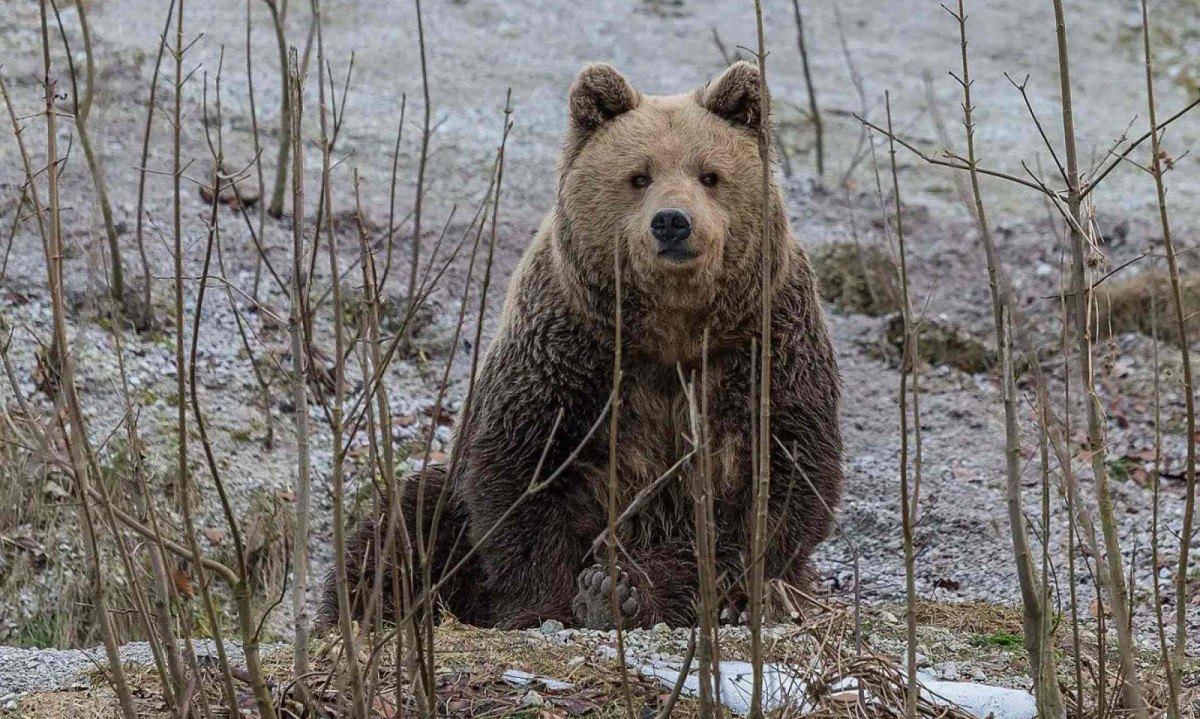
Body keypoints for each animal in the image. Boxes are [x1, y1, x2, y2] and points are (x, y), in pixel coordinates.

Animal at [324, 60, 840, 628]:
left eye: (710, 175)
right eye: (639, 176)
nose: (672, 222)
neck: (673, 327)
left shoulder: (762, 345)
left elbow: (777, 480)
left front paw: (627, 588)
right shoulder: (569, 348)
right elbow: (523, 470)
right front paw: (553, 601)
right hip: (446, 506)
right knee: (403, 528)